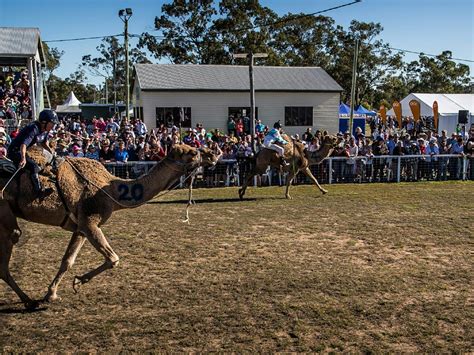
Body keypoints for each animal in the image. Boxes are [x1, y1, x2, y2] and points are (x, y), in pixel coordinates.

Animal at [0, 144, 218, 308]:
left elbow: (67, 261)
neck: (112, 190)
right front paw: (78, 281)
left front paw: (52, 293)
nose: (214, 154)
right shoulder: (90, 221)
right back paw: (28, 300)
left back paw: (28, 299)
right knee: (11, 243)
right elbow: (113, 258)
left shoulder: (80, 226)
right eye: (192, 152)